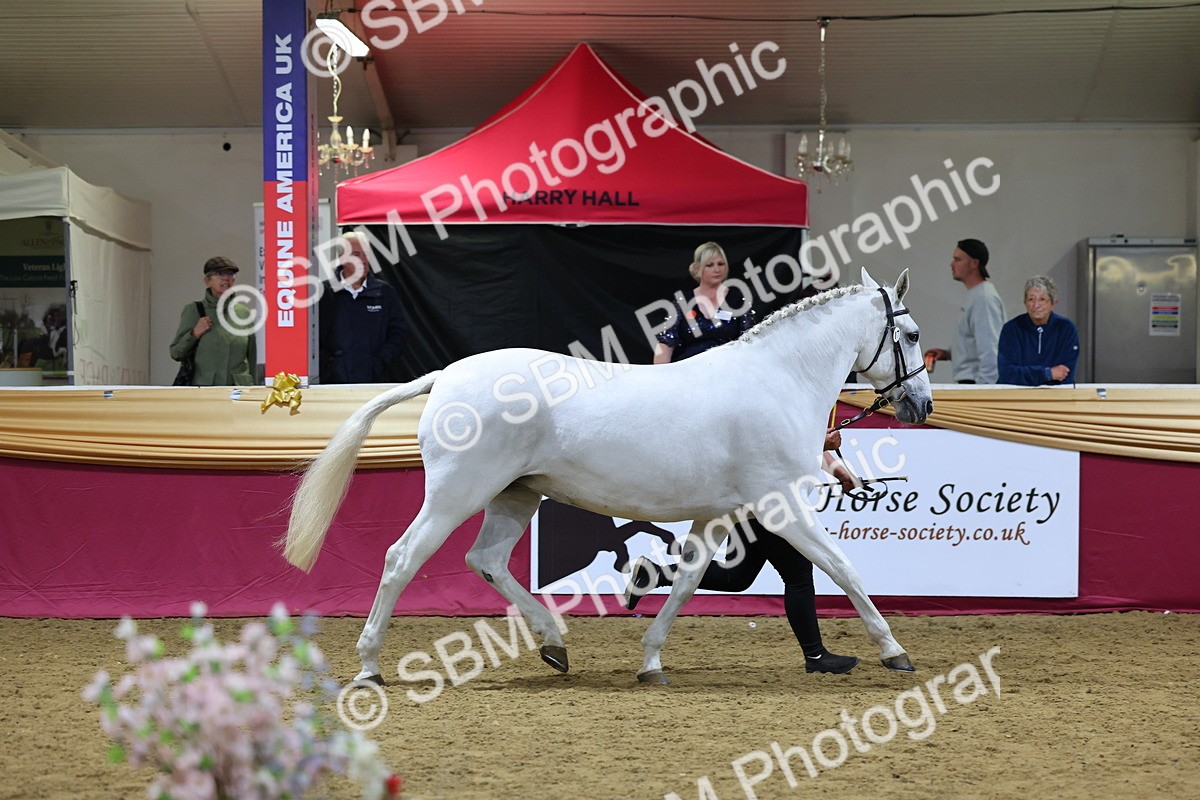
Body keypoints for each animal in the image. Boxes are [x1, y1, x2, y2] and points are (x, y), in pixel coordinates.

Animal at [282, 268, 933, 685]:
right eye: (913, 334)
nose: (921, 405)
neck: (778, 380)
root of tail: (445, 376)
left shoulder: (716, 516)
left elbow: (687, 581)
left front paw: (650, 662)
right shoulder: (782, 506)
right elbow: (842, 569)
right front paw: (894, 651)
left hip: (515, 497)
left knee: (485, 560)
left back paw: (554, 646)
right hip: (455, 494)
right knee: (401, 558)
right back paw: (370, 666)